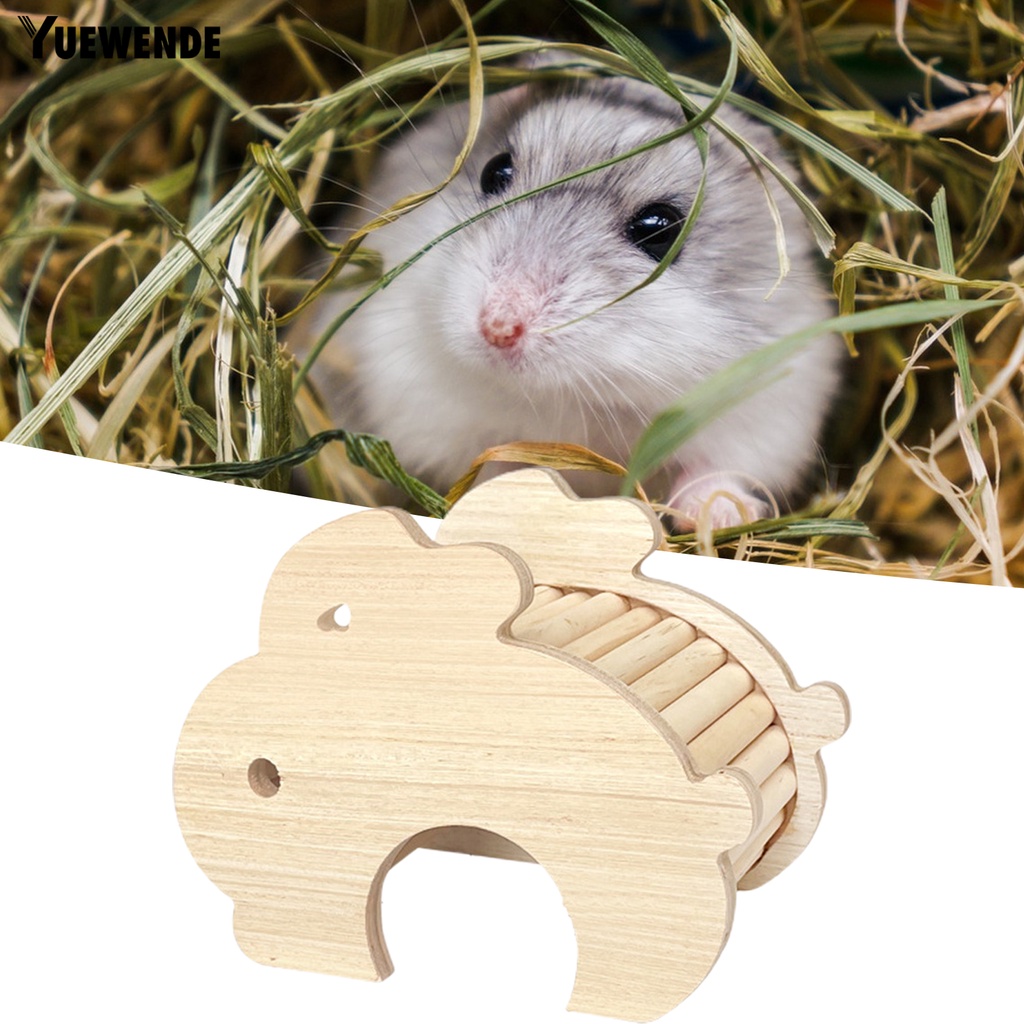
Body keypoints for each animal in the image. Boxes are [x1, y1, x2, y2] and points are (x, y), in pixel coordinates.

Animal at [302, 64, 842, 527]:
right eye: (495, 172)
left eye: (659, 228)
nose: (497, 329)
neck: (573, 394)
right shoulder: (421, 406)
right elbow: (493, 466)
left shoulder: (767, 409)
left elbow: (715, 471)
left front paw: (721, 516)